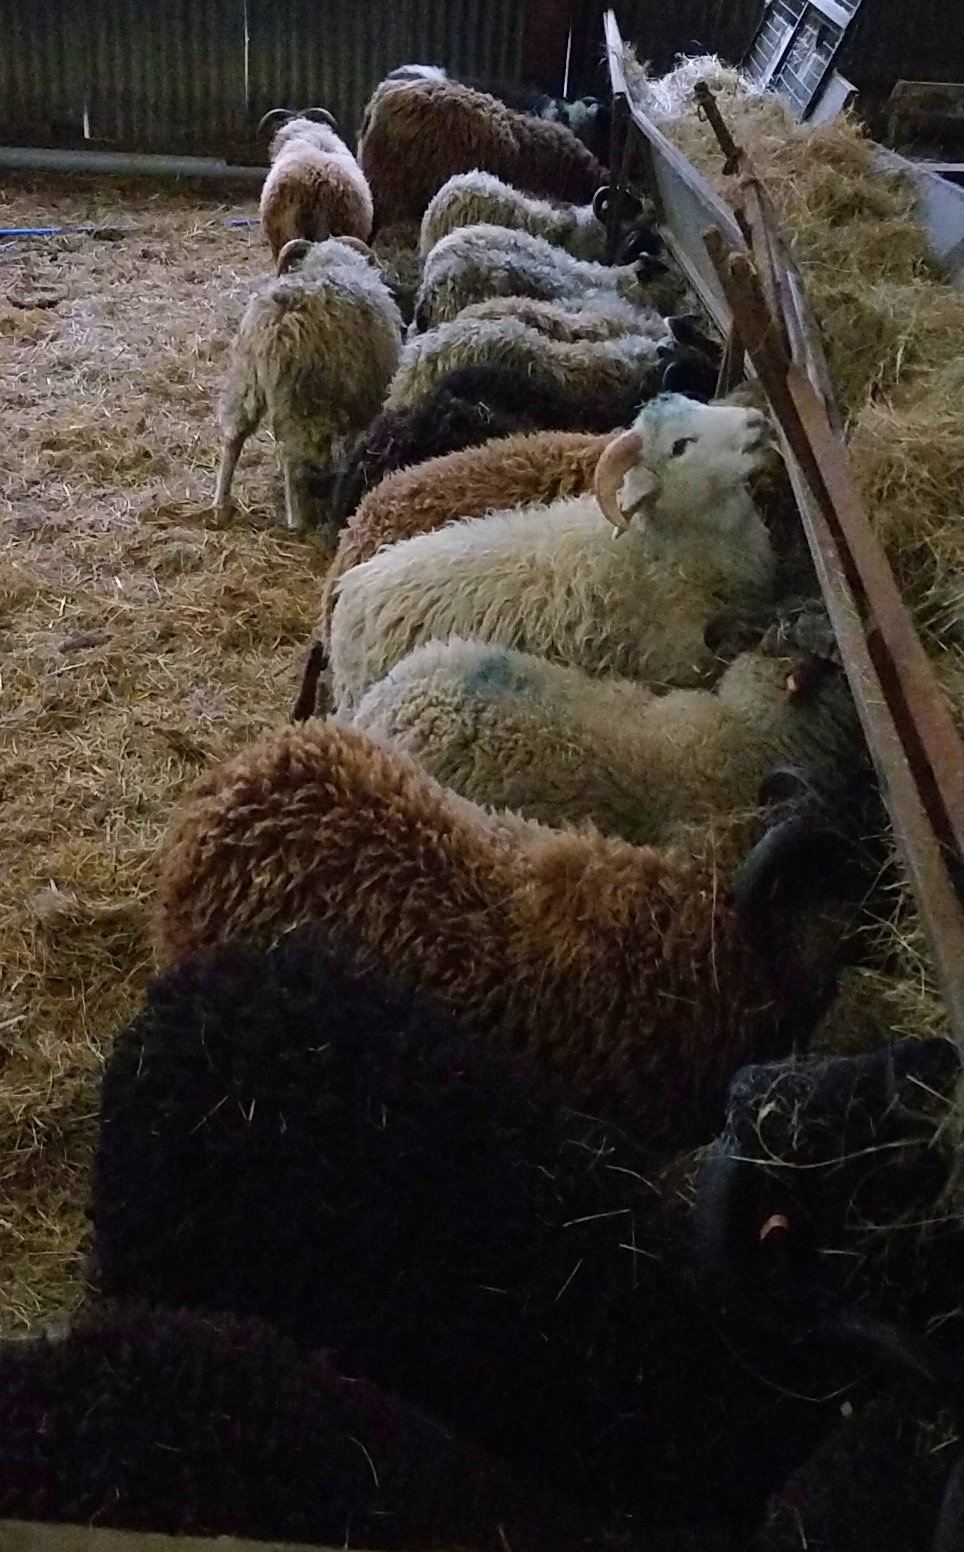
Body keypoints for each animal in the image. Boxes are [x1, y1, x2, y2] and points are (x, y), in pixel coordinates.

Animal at [214, 235, 402, 533]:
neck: (331, 263)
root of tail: (282, 315)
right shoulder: (363, 400)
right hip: (303, 398)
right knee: (292, 454)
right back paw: (297, 519)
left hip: (245, 378)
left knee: (234, 435)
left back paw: (222, 506)